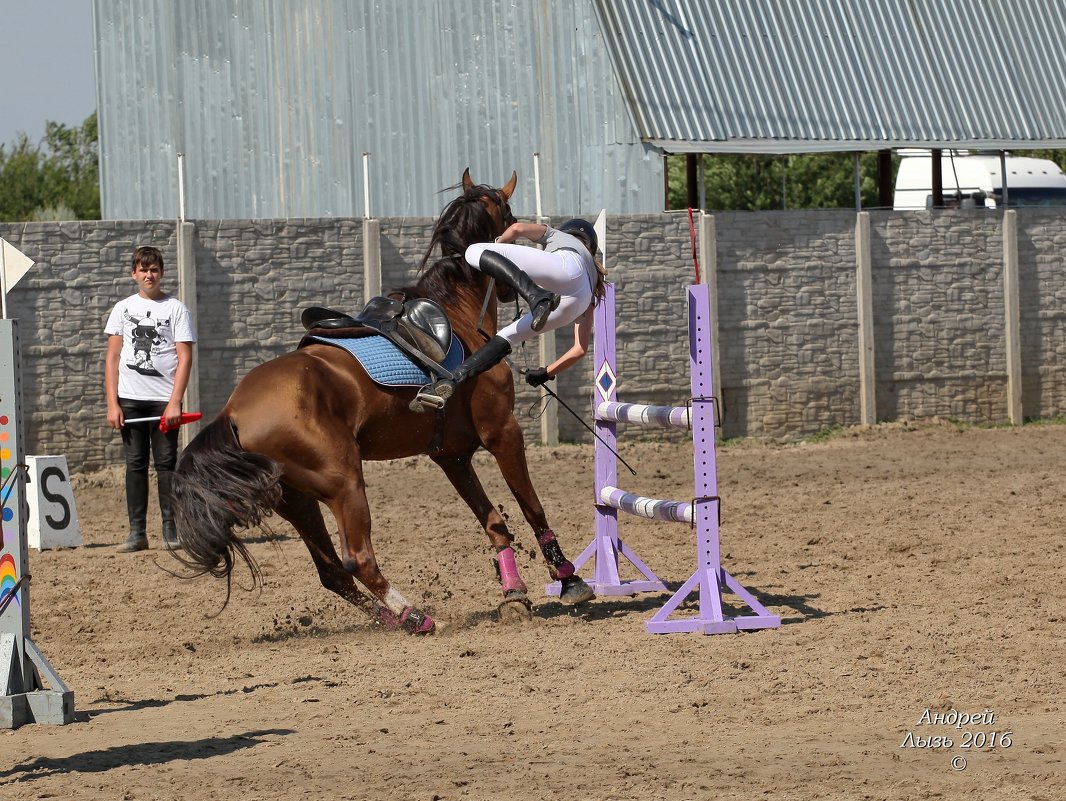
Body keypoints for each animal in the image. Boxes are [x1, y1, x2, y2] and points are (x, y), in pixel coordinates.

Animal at [170, 170, 596, 631]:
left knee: (333, 572)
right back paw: (416, 616)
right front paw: (568, 578)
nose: (507, 292)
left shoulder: (451, 455)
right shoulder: (502, 432)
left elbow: (495, 522)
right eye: (511, 215)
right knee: (358, 559)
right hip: (344, 483)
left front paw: (514, 594)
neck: (458, 316)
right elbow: (532, 507)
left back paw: (393, 619)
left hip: (297, 499)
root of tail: (233, 411)